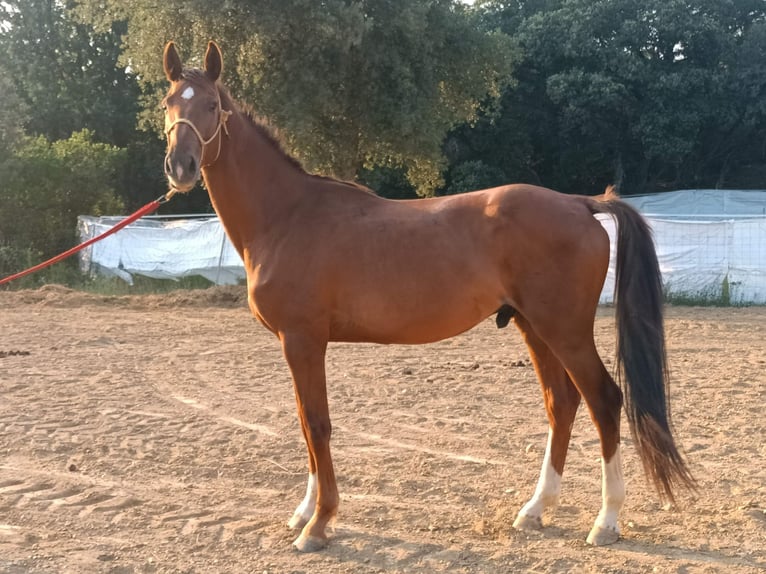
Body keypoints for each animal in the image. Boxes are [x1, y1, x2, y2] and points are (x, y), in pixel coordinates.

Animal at [160, 41, 696, 552]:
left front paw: (319, 523)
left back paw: (606, 521)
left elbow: (317, 424)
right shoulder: (296, 345)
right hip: (534, 327)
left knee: (604, 400)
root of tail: (579, 203)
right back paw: (535, 510)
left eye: (211, 104)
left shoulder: (303, 340)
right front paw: (305, 511)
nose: (180, 166)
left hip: (565, 330)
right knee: (560, 404)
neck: (288, 215)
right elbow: (305, 423)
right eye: (169, 103)